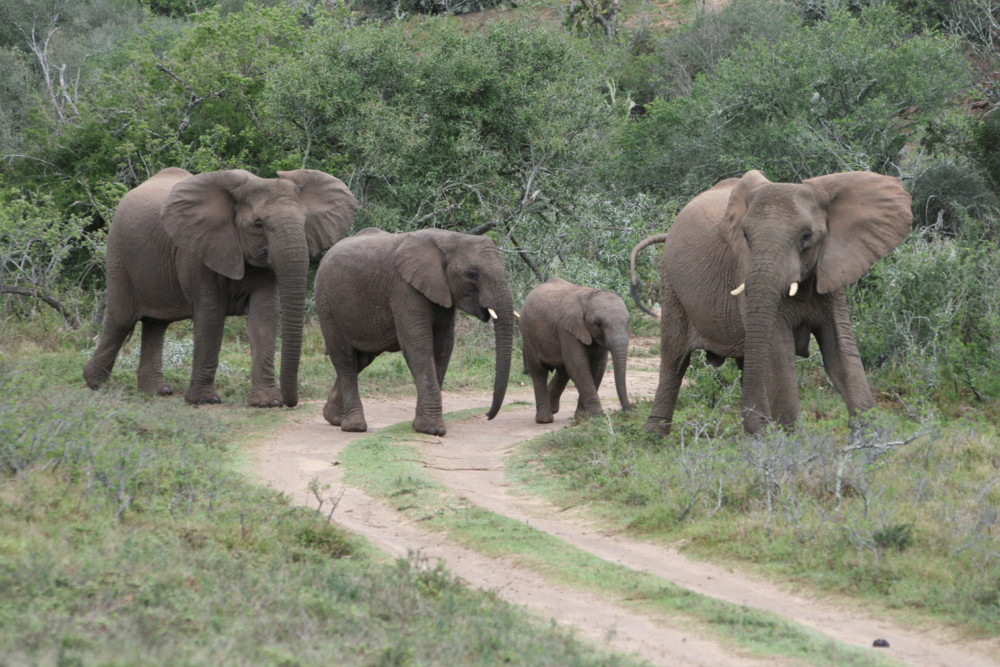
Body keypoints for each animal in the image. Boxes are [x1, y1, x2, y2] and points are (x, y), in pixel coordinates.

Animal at [85, 167, 360, 408]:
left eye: (305, 222)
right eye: (258, 225)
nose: (291, 402)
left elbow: (264, 317)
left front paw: (267, 402)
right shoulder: (197, 250)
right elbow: (211, 314)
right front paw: (205, 400)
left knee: (156, 324)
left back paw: (157, 391)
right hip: (119, 254)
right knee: (121, 318)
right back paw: (94, 384)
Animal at [314, 228, 516, 438]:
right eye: (473, 274)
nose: (487, 415)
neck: (449, 238)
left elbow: (443, 347)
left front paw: (424, 426)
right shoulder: (404, 288)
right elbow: (418, 345)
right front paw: (432, 429)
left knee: (360, 360)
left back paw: (334, 418)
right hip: (327, 306)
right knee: (344, 358)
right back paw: (354, 426)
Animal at [520, 280, 628, 426]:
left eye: (627, 321)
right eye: (598, 323)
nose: (628, 411)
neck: (589, 295)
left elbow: (597, 367)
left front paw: (582, 417)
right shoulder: (566, 329)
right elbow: (578, 366)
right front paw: (596, 416)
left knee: (563, 371)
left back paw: (552, 409)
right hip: (528, 333)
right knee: (539, 371)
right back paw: (544, 419)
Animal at [632, 170, 916, 436]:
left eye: (806, 236)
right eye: (745, 236)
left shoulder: (831, 270)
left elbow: (840, 351)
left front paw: (871, 437)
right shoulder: (743, 266)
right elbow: (778, 351)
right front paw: (794, 442)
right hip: (670, 282)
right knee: (676, 357)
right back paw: (655, 435)